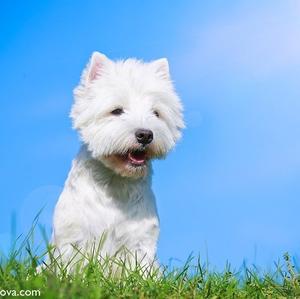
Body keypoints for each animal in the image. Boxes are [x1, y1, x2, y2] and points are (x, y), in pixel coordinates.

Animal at [50, 52, 184, 272]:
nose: (145, 135)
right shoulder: (74, 237)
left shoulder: (140, 241)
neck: (116, 182)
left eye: (156, 113)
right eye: (116, 111)